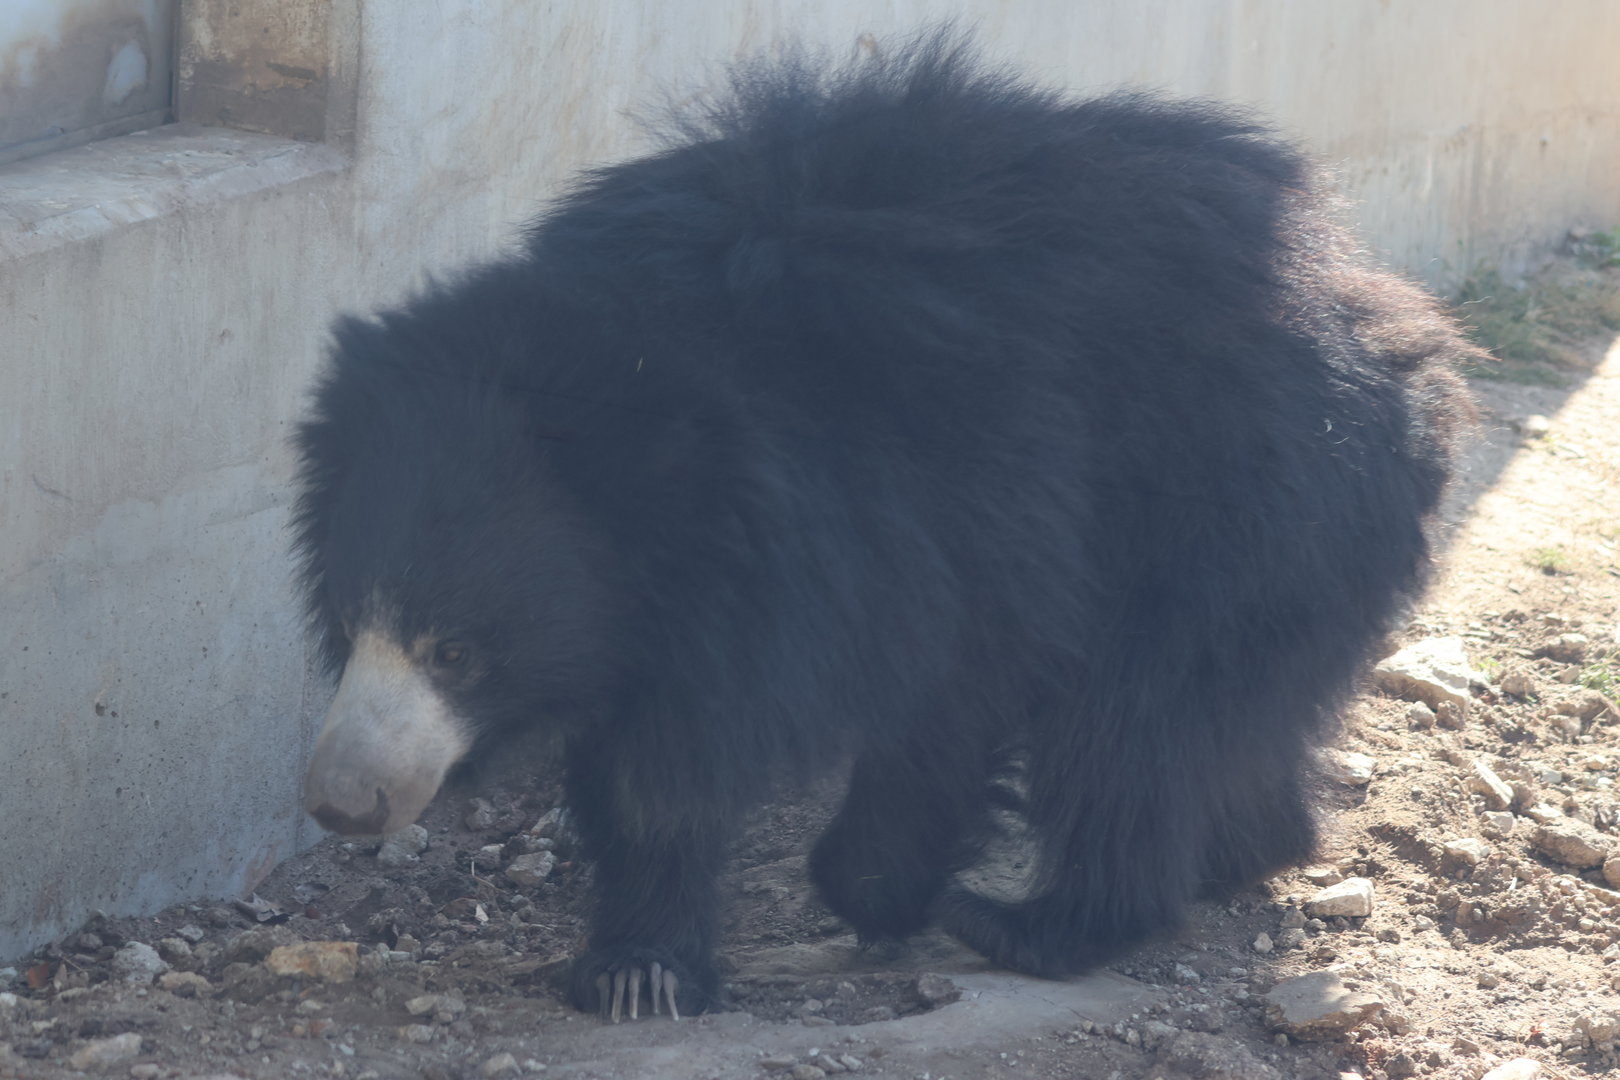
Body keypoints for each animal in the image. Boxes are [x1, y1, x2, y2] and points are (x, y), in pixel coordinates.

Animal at [293, 31, 1476, 1021]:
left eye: (455, 651)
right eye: (351, 624)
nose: (344, 805)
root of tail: (1385, 317)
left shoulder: (941, 502)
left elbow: (949, 687)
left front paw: (872, 896)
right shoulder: (668, 606)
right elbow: (648, 765)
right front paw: (634, 969)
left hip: (1238, 502)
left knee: (1140, 718)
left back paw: (1040, 923)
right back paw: (1246, 851)